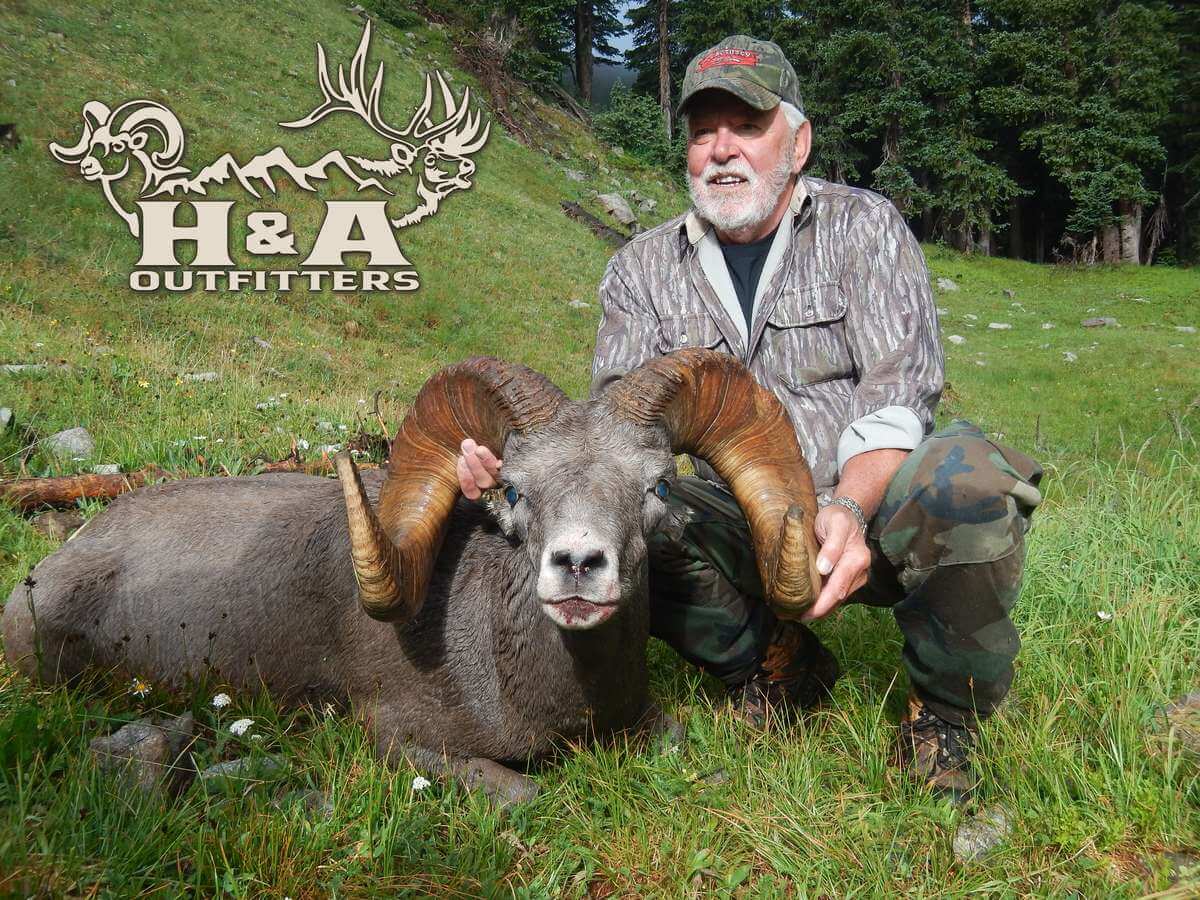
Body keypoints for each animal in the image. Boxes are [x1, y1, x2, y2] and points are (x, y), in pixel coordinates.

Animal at [2, 350, 822, 803]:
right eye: (513, 489)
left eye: (657, 485)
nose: (579, 567)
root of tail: (51, 571)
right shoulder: (401, 740)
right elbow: (524, 794)